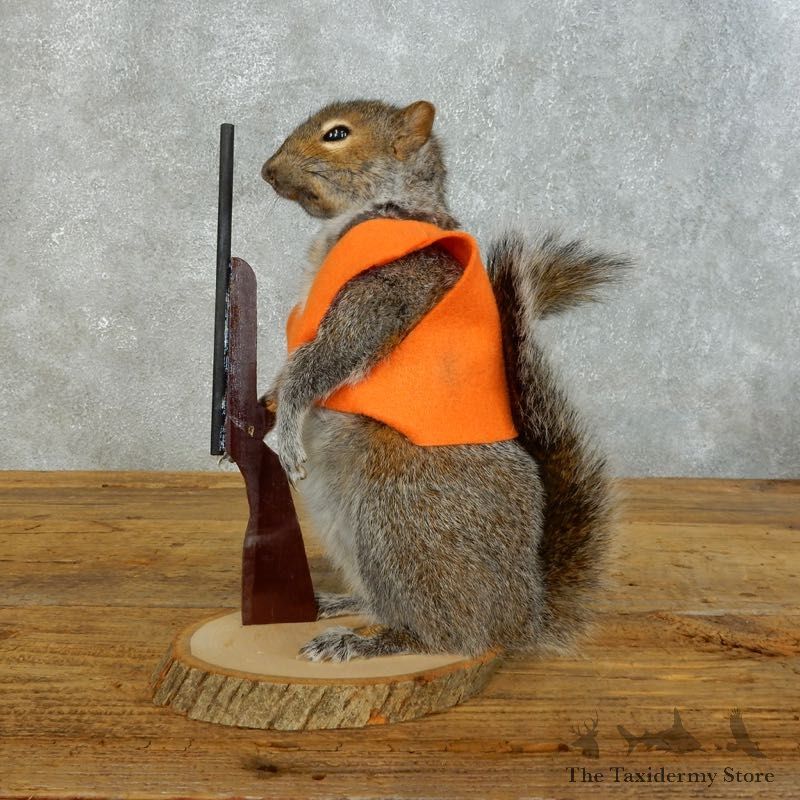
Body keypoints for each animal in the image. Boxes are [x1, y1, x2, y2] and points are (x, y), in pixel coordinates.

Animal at [259, 99, 627, 662]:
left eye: (336, 134)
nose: (268, 171)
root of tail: (521, 617)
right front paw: (270, 399)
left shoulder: (394, 284)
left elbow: (330, 352)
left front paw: (288, 427)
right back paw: (342, 605)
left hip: (400, 517)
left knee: (447, 635)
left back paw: (369, 643)